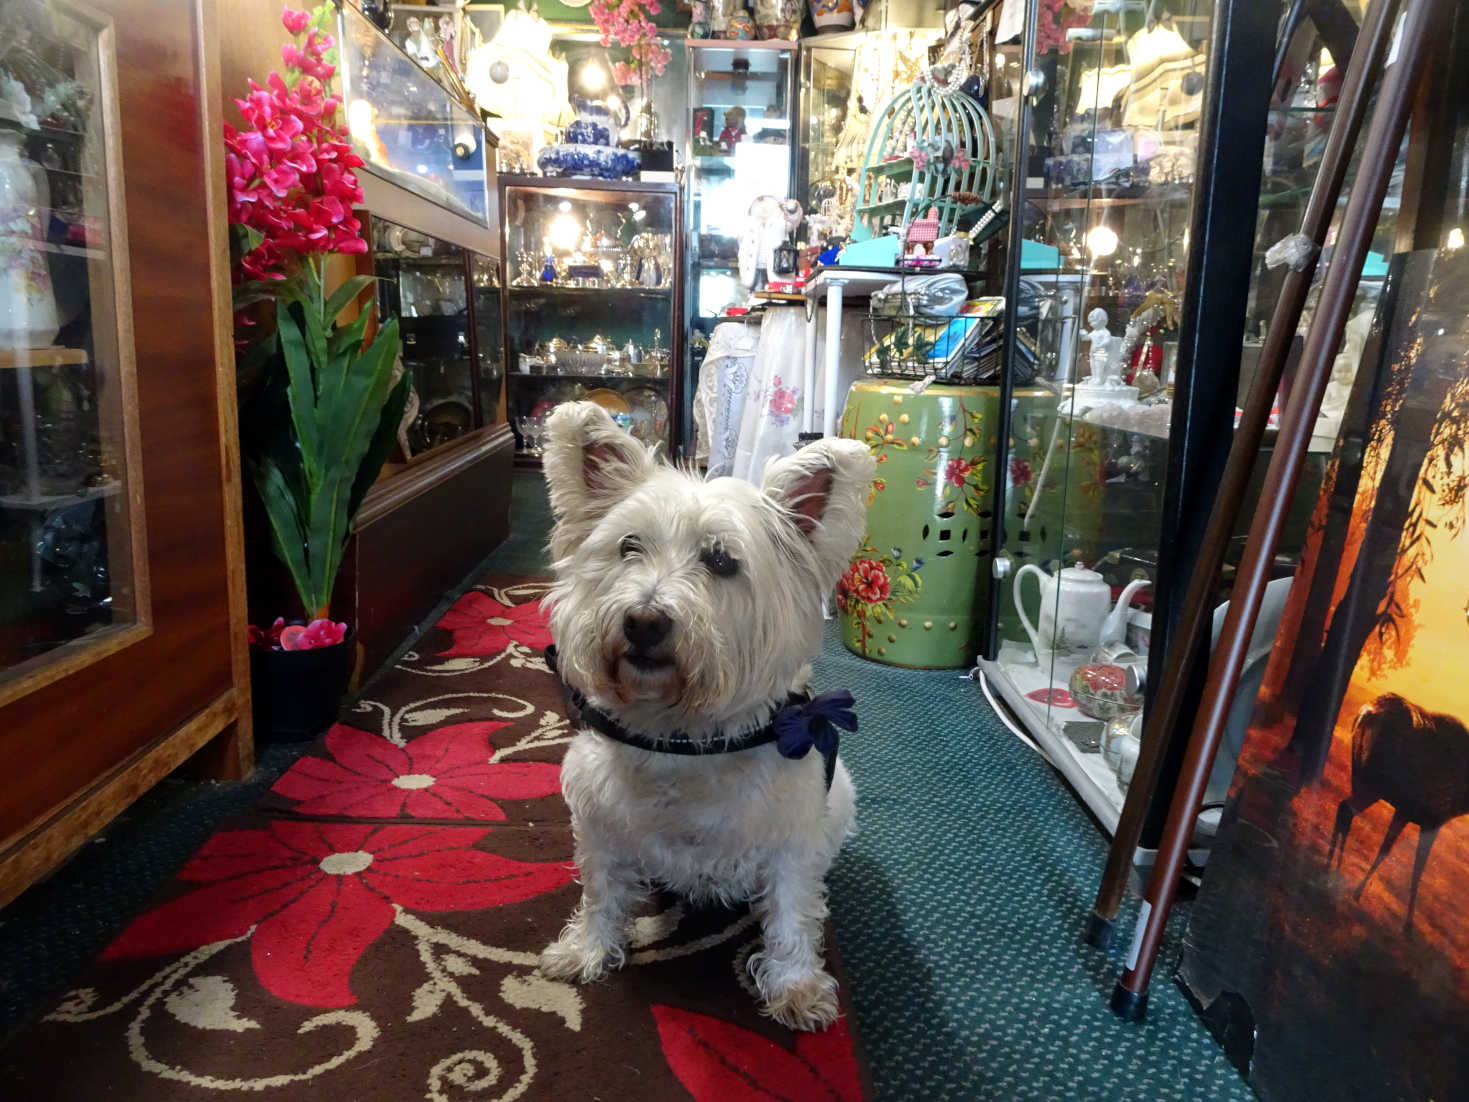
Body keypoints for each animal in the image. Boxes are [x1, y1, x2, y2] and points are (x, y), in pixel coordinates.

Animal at [537, 402, 869, 1034]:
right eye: (628, 547)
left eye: (721, 561)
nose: (643, 621)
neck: (682, 739)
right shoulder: (599, 824)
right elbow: (602, 893)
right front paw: (588, 950)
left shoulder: (791, 837)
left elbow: (792, 911)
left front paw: (796, 987)